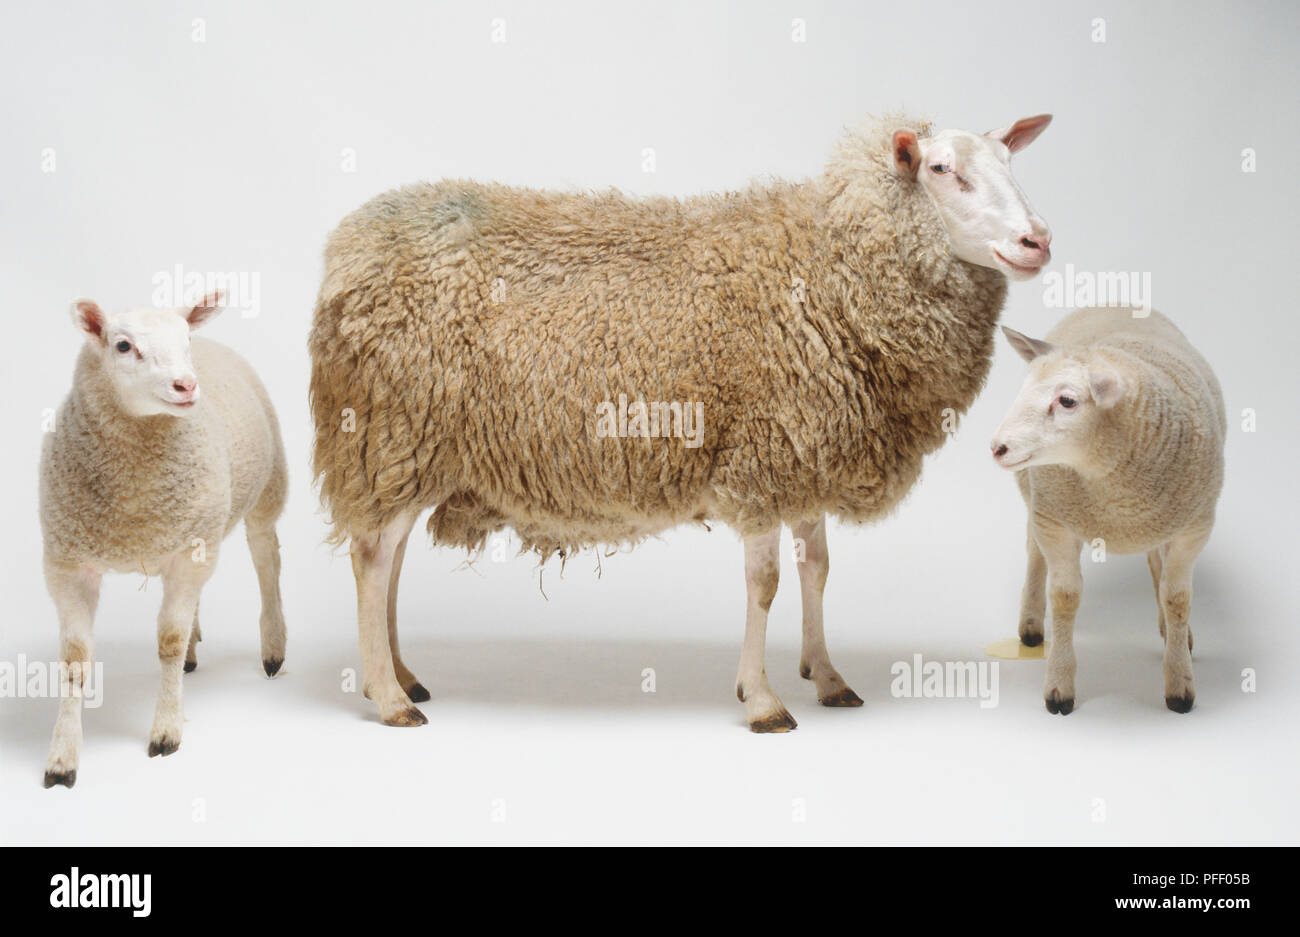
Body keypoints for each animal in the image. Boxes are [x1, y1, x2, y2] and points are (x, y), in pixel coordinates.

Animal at [39, 293, 288, 787]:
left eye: (185, 339)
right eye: (122, 345)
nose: (186, 386)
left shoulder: (187, 556)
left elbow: (168, 641)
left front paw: (166, 731)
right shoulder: (67, 563)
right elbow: (74, 659)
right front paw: (62, 757)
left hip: (266, 488)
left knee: (266, 560)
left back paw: (272, 647)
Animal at [309, 112, 1054, 731]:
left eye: (1009, 163)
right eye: (942, 170)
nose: (1037, 240)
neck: (831, 270)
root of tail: (349, 244)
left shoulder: (807, 452)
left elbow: (817, 568)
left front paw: (828, 676)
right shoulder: (760, 459)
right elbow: (766, 584)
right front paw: (762, 699)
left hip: (410, 449)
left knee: (391, 558)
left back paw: (399, 672)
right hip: (394, 429)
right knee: (373, 558)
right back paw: (390, 697)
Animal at [991, 306, 1225, 714]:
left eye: (1067, 401)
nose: (997, 447)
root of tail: (1112, 301)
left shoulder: (1195, 526)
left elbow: (1177, 598)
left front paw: (1180, 680)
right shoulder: (1055, 522)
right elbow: (1064, 596)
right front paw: (1059, 686)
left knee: (1157, 563)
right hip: (1037, 497)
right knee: (1034, 554)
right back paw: (1031, 626)